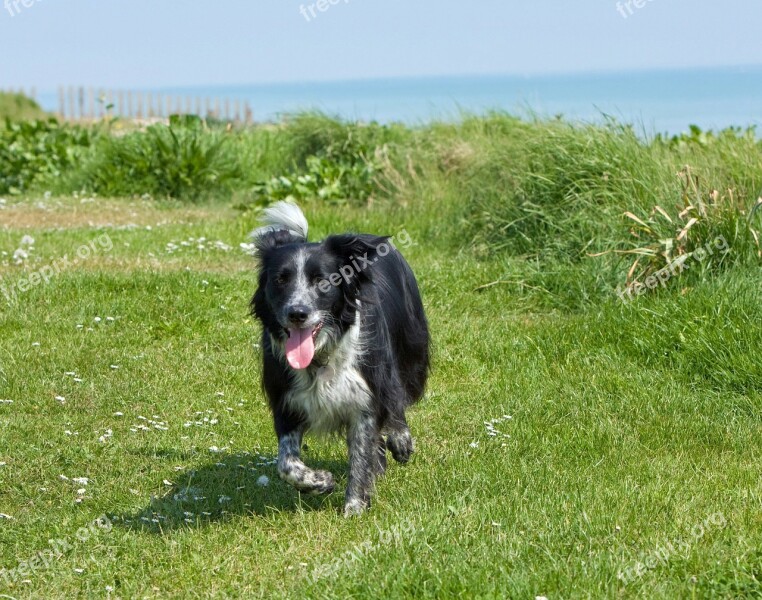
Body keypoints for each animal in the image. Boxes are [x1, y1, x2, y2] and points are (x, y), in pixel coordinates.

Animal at [249, 202, 428, 516]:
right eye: (280, 279)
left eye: (321, 280)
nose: (297, 313)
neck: (319, 359)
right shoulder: (285, 398)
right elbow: (286, 464)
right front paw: (320, 482)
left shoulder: (366, 393)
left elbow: (361, 451)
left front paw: (354, 508)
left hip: (409, 345)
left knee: (398, 394)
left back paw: (400, 442)